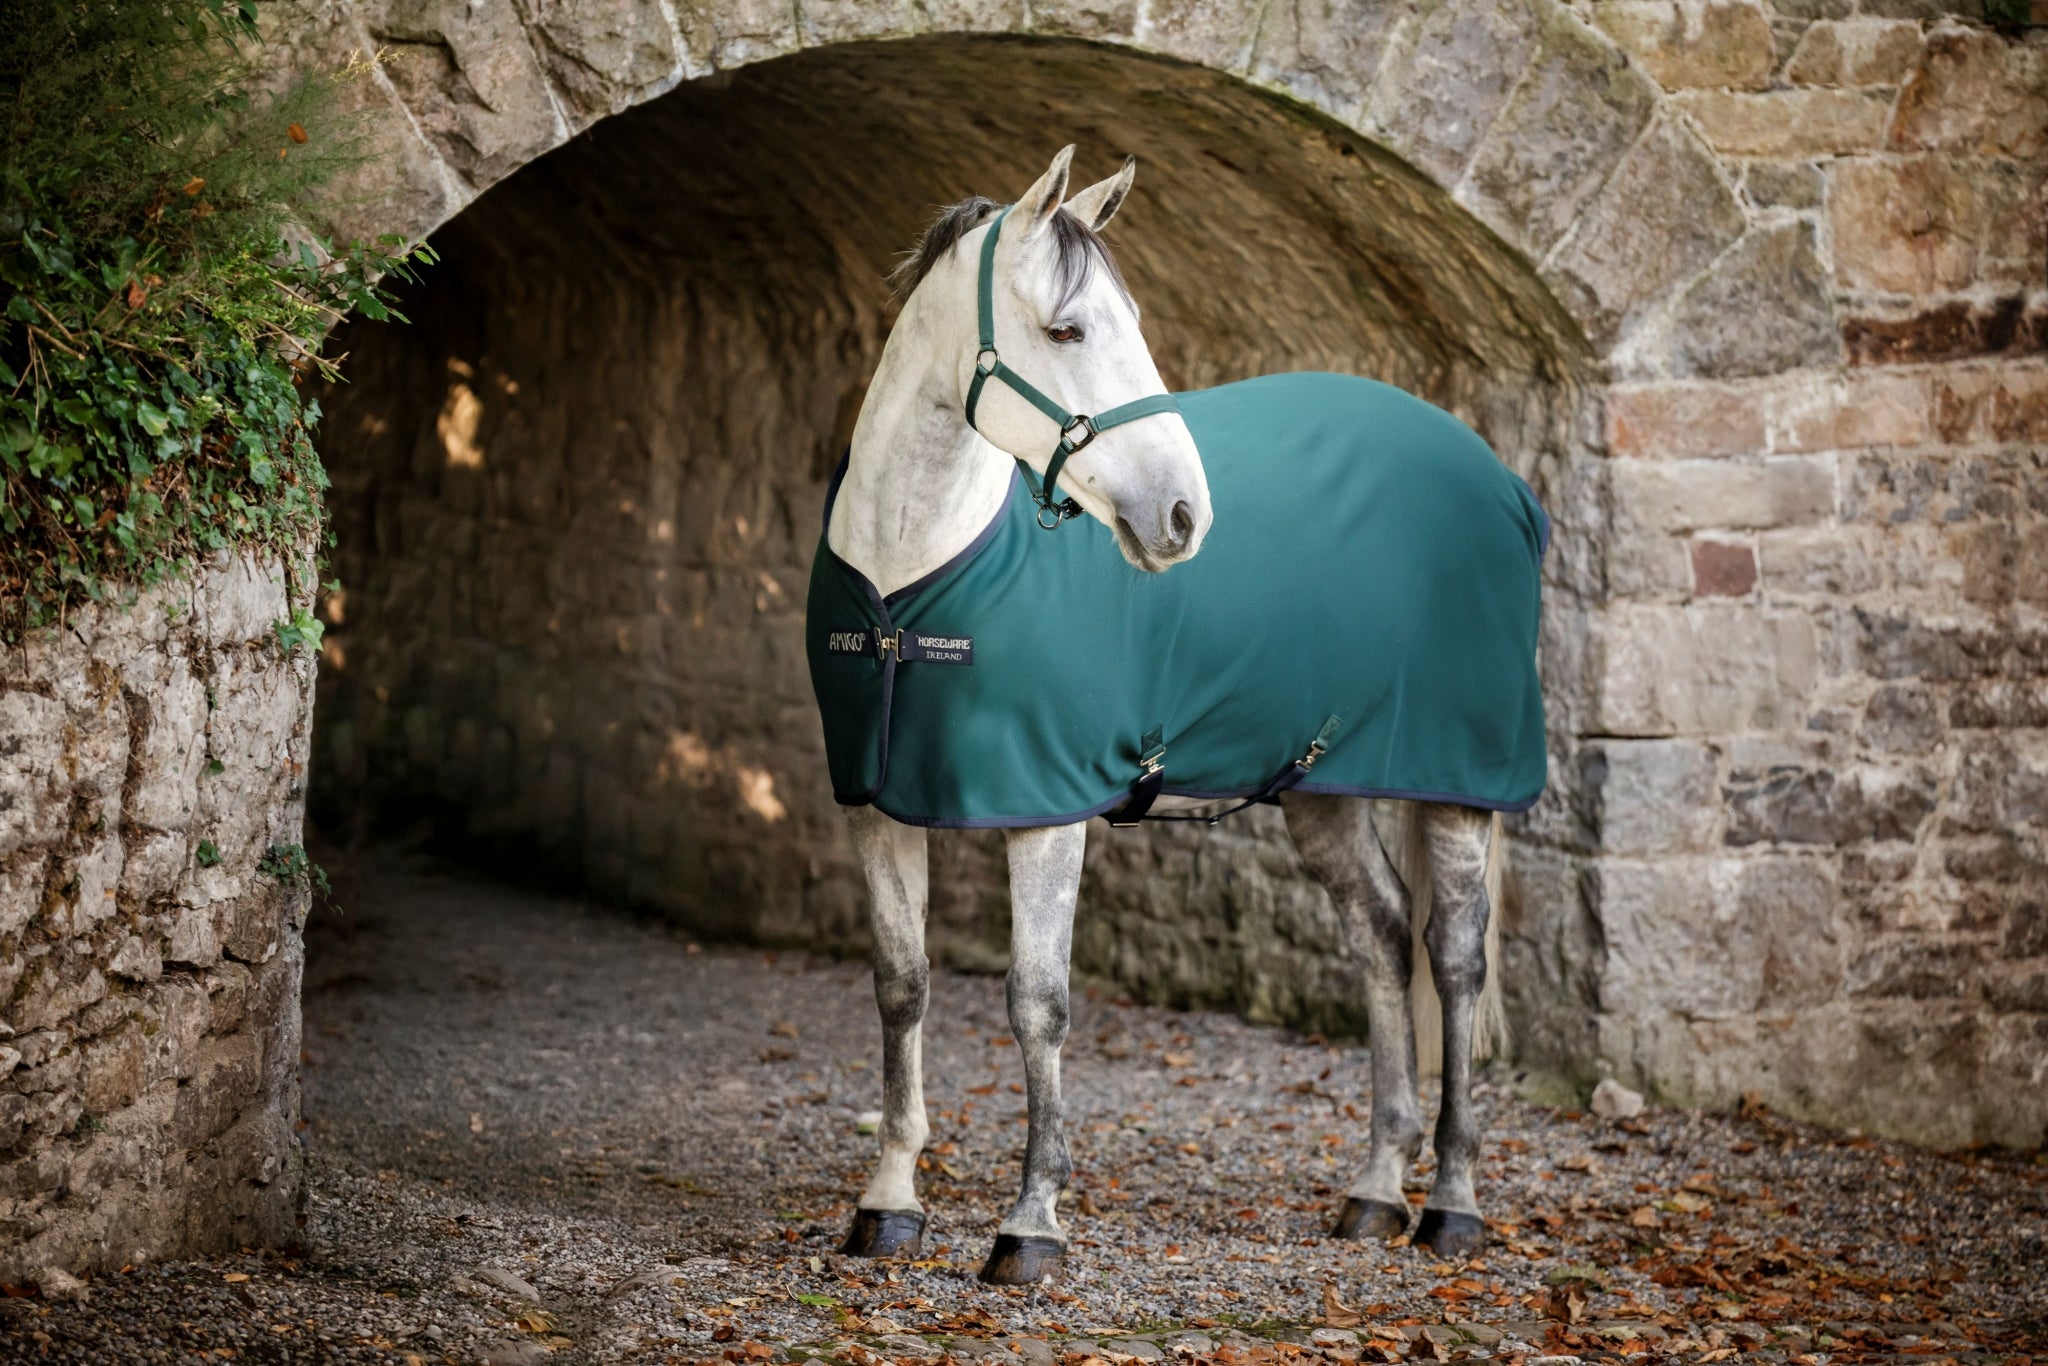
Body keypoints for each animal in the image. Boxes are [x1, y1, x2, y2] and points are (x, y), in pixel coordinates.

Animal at [806, 146, 1545, 1286]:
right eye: (1068, 330)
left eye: (1136, 320)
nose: (1184, 517)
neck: (911, 576)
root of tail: (1498, 478)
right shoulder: (875, 805)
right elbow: (900, 987)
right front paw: (887, 1202)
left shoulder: (1045, 811)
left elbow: (1037, 1003)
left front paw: (1031, 1222)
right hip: (1319, 786)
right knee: (1380, 937)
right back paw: (1375, 1189)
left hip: (1457, 785)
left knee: (1453, 960)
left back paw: (1452, 1204)